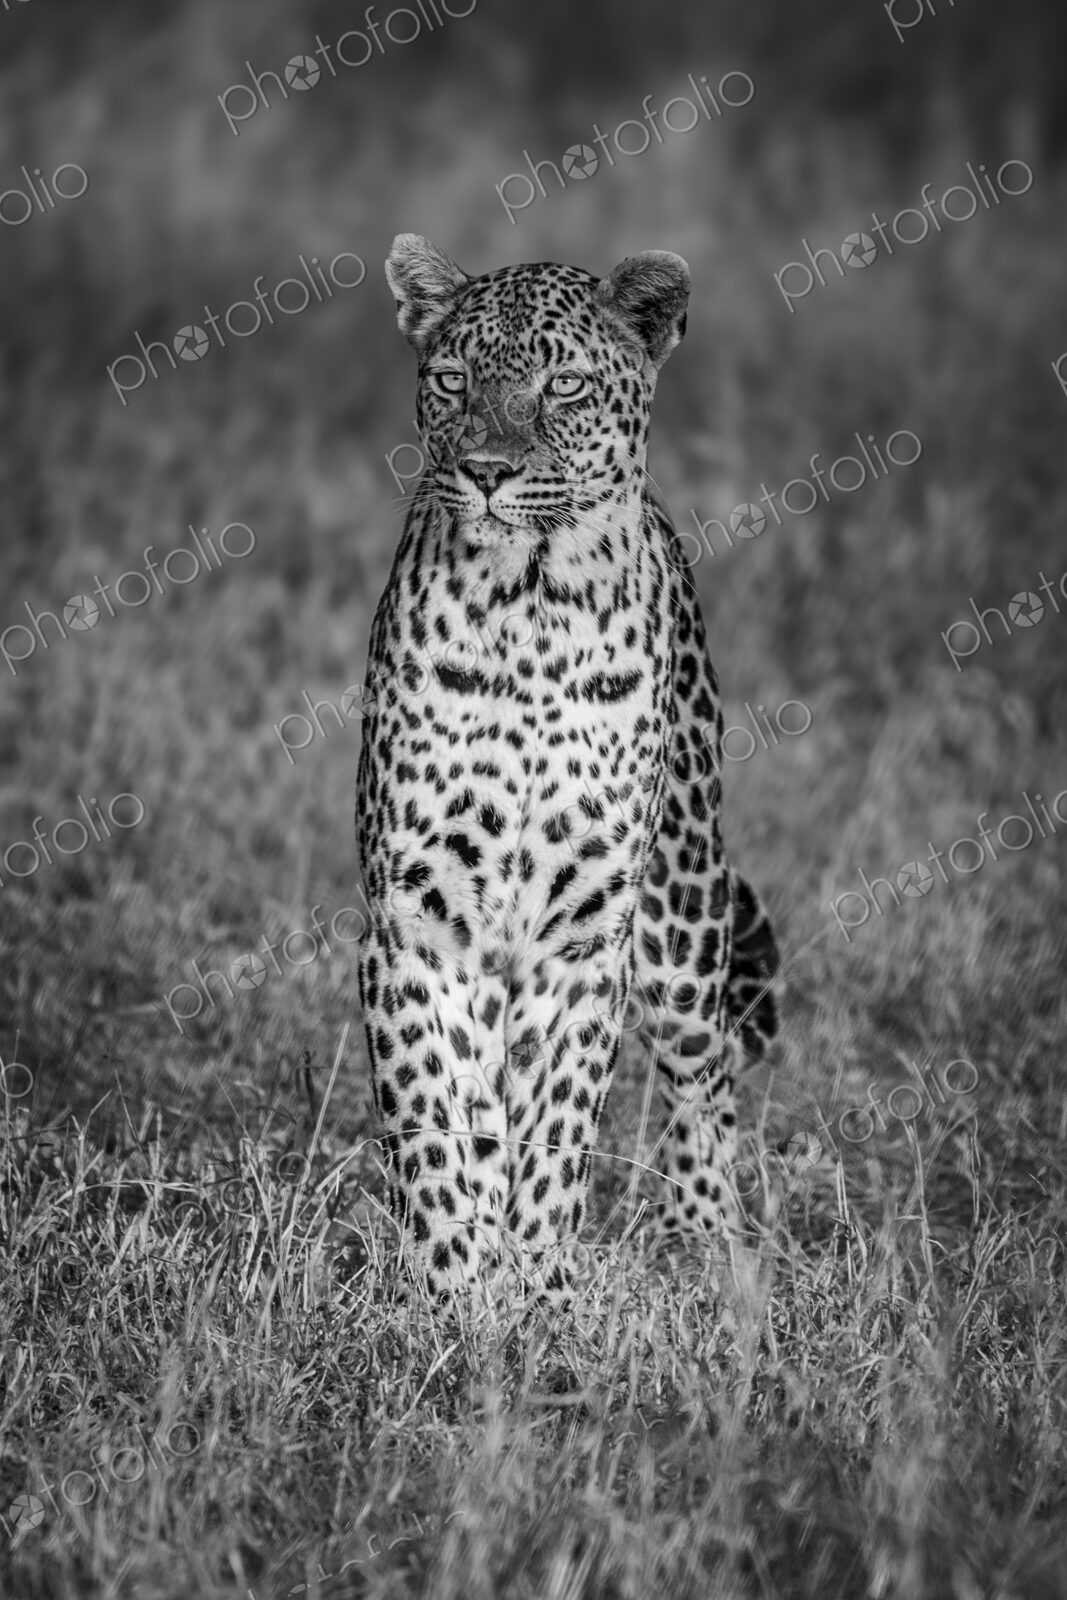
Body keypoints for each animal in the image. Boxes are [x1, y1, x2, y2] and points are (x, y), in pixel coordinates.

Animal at [355, 233, 779, 1308]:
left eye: (565, 385)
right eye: (451, 381)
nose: (486, 472)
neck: (529, 607)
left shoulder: (585, 937)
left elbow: (558, 1129)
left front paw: (539, 1292)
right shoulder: (417, 921)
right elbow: (436, 1119)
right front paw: (456, 1295)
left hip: (682, 912)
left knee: (703, 1072)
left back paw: (705, 1240)